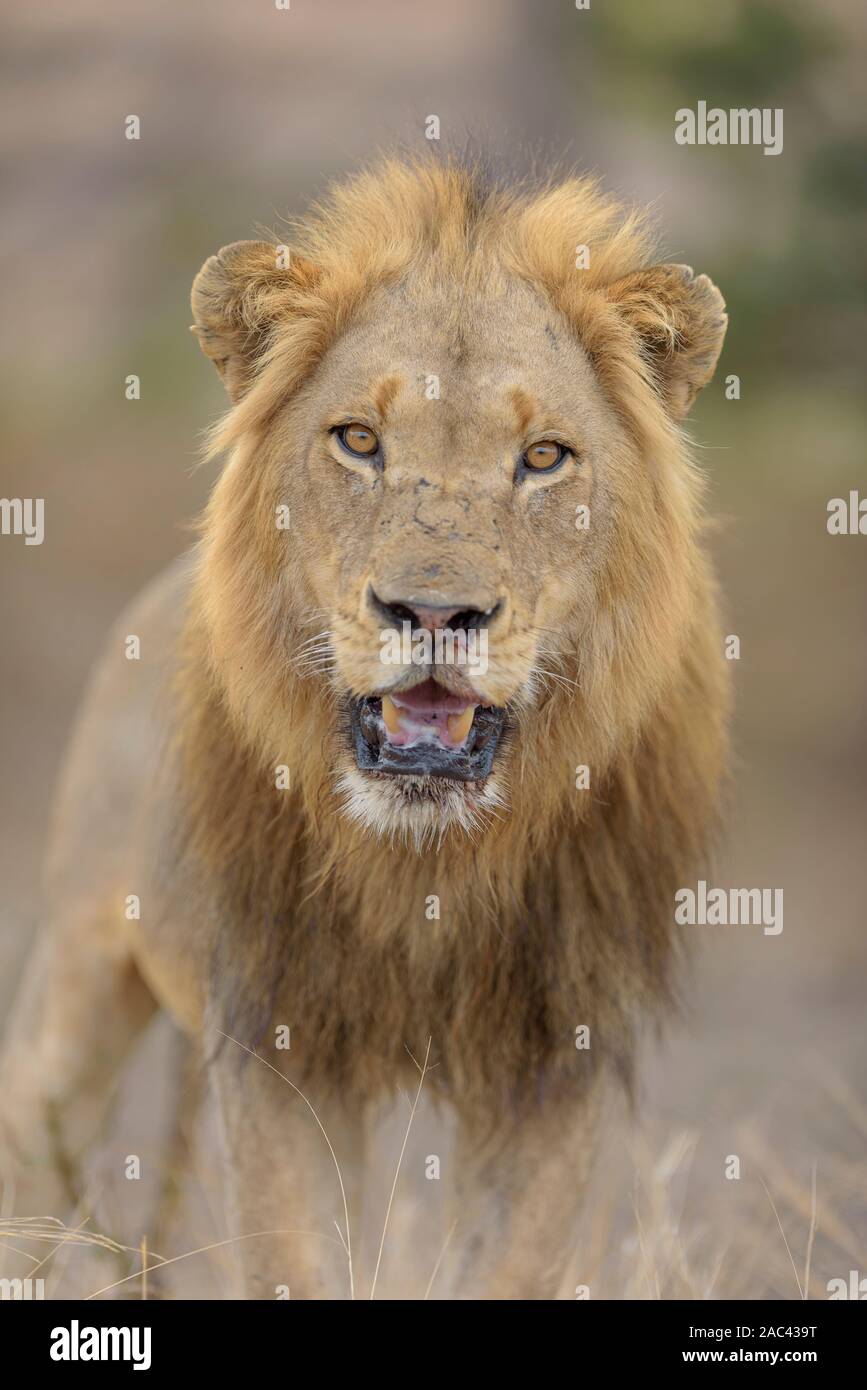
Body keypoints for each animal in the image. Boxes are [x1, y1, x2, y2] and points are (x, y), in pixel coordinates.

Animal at [0, 157, 729, 1299]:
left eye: (544, 457)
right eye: (357, 440)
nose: (433, 612)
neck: (425, 862)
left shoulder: (553, 1059)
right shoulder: (281, 1037)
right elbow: (294, 1261)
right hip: (74, 986)